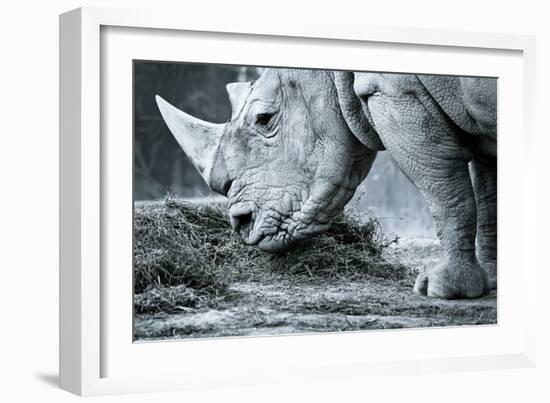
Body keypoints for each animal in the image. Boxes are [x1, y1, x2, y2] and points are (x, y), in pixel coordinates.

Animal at [156, 68, 500, 300]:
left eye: (264, 119)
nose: (241, 223)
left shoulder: (395, 92)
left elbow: (444, 189)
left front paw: (442, 289)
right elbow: (489, 194)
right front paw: (492, 280)